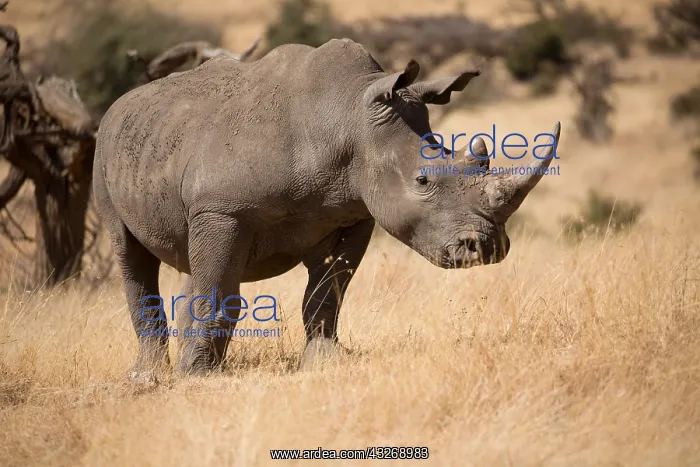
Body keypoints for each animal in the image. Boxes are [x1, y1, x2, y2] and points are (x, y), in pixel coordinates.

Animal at [93, 38, 561, 380]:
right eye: (422, 182)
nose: (486, 248)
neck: (347, 119)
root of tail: (119, 104)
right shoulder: (222, 210)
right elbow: (221, 290)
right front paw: (198, 376)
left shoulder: (356, 213)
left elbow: (327, 291)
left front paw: (325, 361)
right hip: (106, 148)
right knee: (130, 251)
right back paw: (147, 376)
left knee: (194, 262)